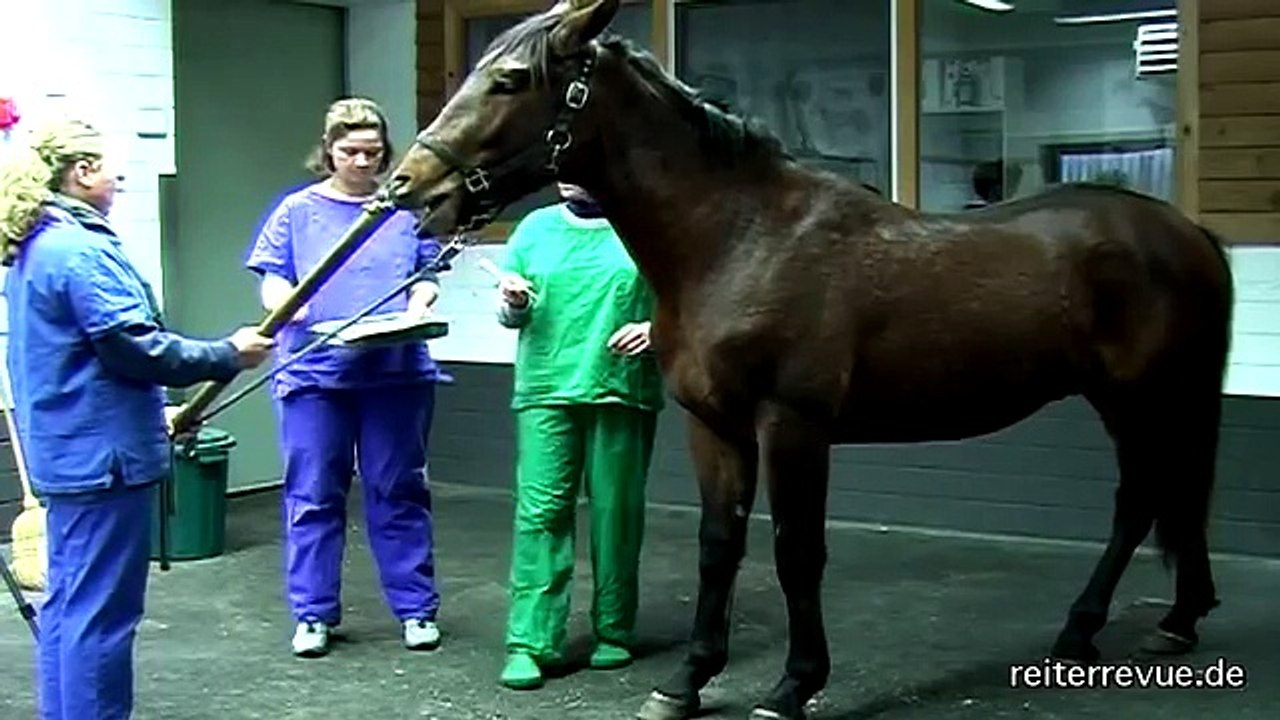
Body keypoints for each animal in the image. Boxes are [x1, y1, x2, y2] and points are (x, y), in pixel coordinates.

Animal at [386, 1, 1233, 718]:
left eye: (510, 78)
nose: (409, 184)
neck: (739, 238)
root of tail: (1185, 233)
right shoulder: (714, 427)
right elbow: (719, 546)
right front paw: (686, 682)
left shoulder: (792, 425)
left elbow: (795, 549)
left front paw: (793, 686)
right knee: (1168, 493)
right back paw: (1175, 618)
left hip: (1139, 396)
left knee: (1141, 499)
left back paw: (1086, 628)